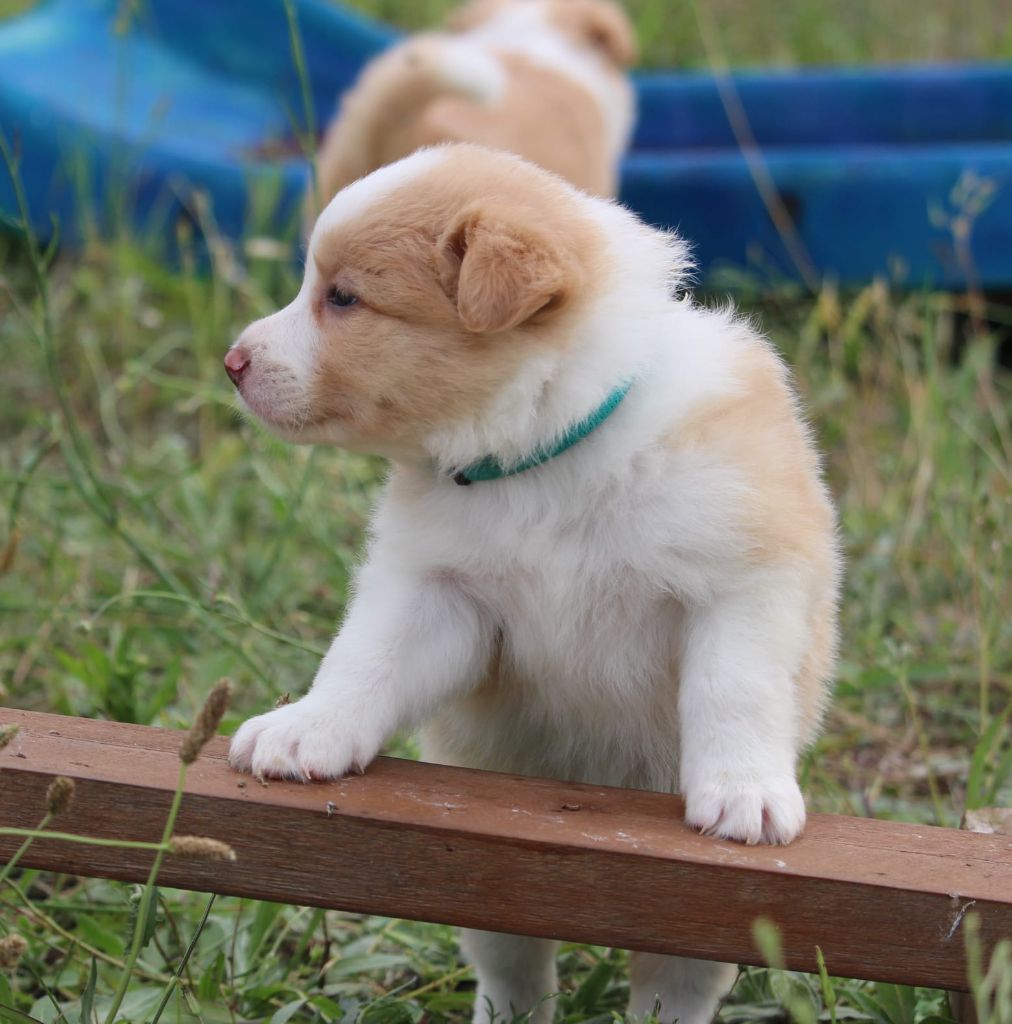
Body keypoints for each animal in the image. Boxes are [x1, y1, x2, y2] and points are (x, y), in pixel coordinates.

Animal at [225, 144, 844, 1024]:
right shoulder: (440, 594)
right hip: (495, 890)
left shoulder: (742, 582)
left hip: (692, 923)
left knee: (672, 988)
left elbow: (734, 689)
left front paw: (744, 791)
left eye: (343, 298)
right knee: (515, 971)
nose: (232, 362)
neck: (547, 458)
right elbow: (363, 664)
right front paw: (304, 729)